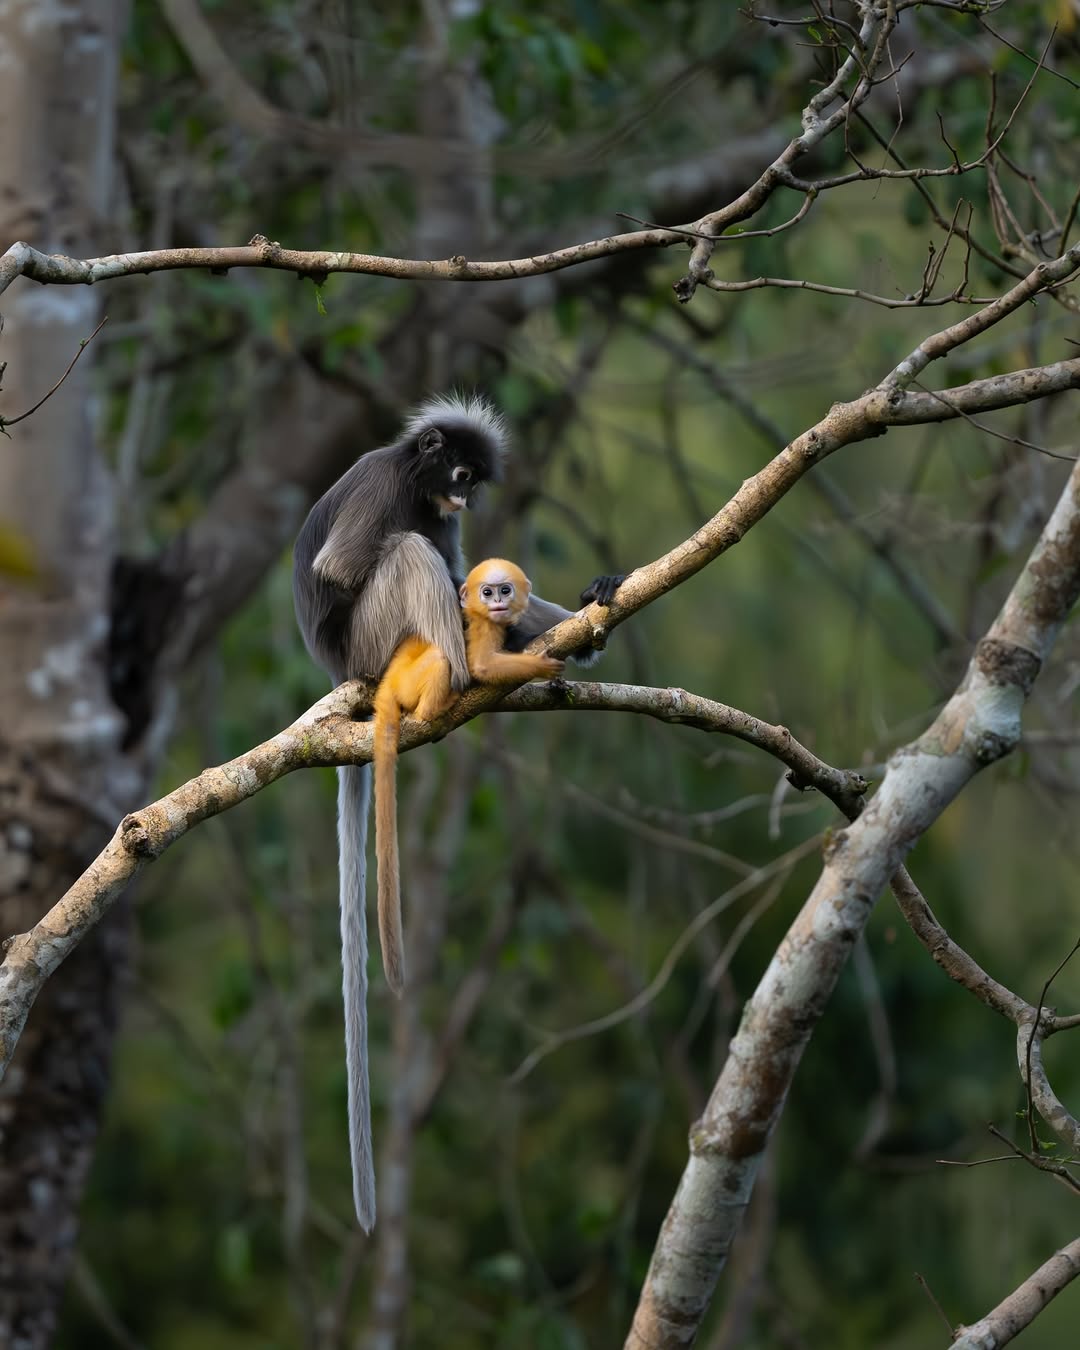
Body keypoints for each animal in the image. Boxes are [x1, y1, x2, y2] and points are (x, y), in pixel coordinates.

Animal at [291, 394, 621, 1236]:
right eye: (461, 475)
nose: (463, 502)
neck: (416, 483)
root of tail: (342, 677)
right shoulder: (384, 487)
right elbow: (350, 567)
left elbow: (463, 566)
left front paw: (588, 602)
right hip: (375, 640)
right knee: (407, 552)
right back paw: (468, 664)